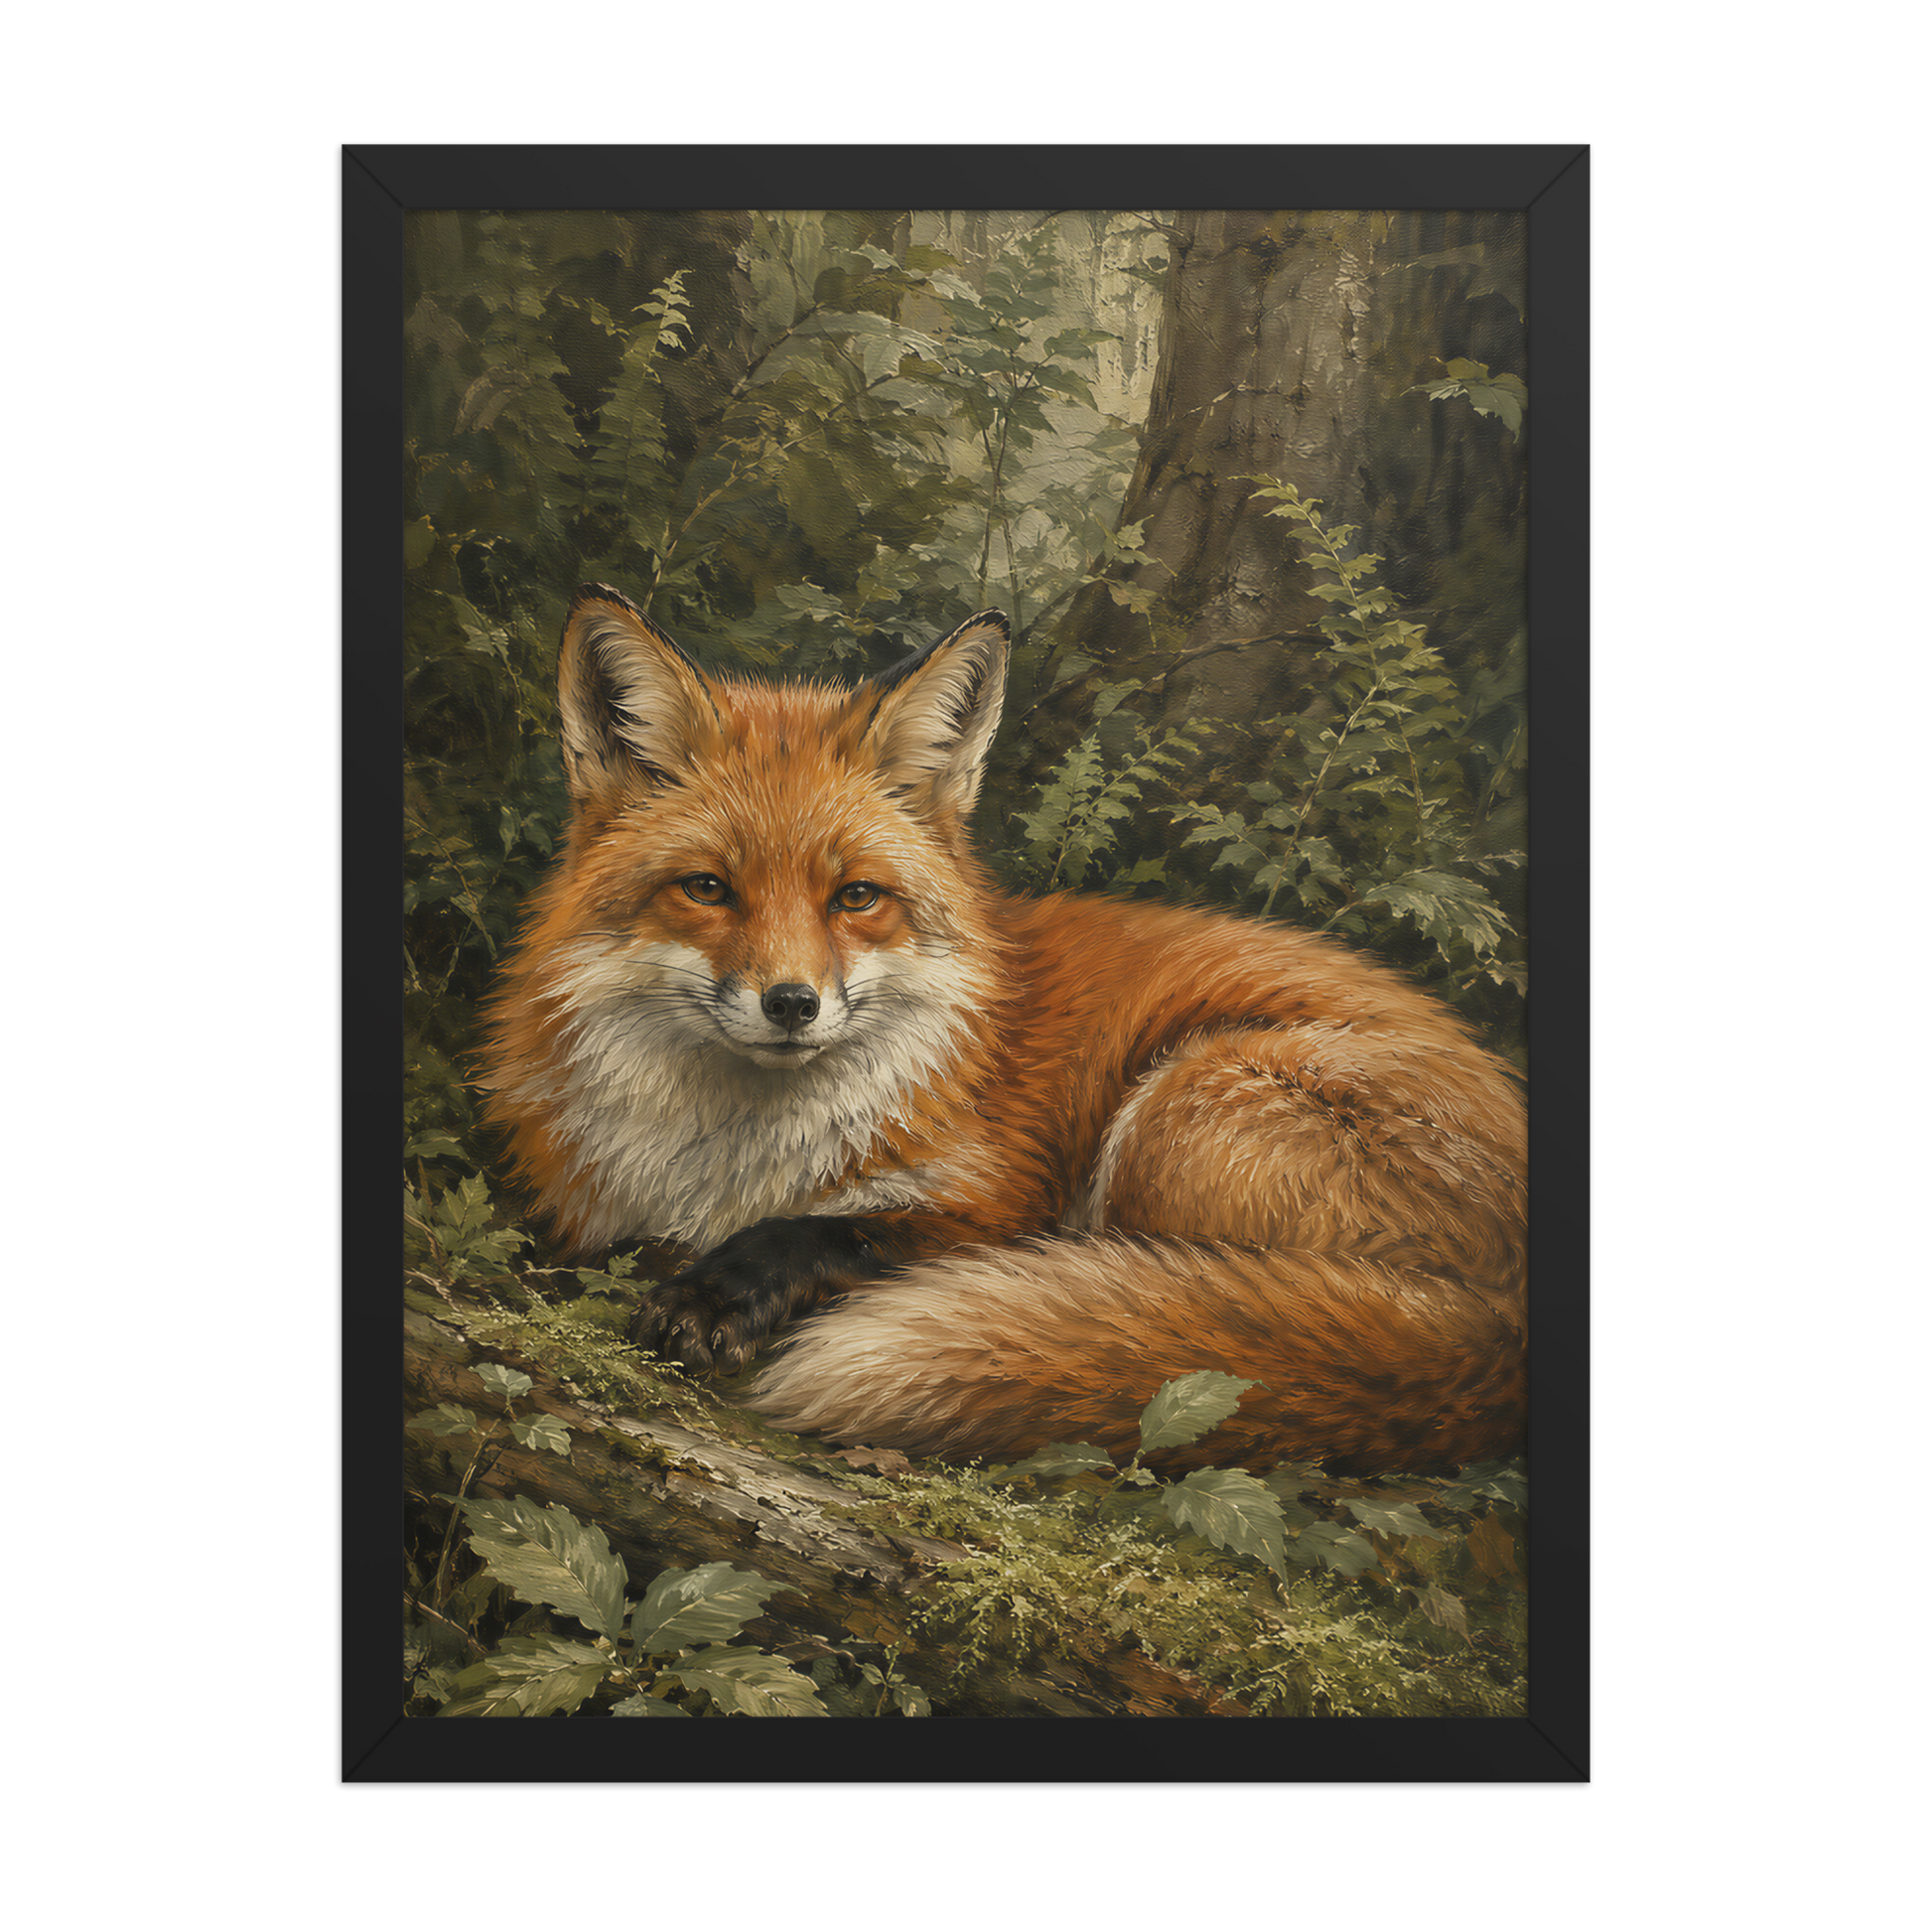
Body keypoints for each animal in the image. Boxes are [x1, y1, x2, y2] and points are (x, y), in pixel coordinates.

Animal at [479, 583, 1527, 1478]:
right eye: (707, 889)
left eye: (856, 898)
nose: (792, 1003)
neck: (726, 1161)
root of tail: (1507, 1334)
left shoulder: (997, 1207)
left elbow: (838, 1234)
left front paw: (716, 1293)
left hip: (1178, 1109)